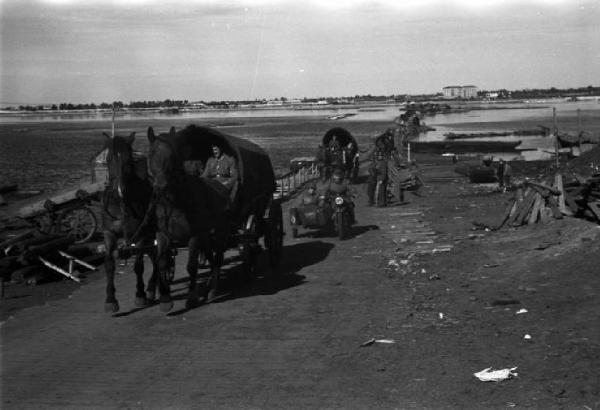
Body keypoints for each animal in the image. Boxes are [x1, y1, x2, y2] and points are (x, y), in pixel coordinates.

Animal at [102, 133, 159, 312]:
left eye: (128, 160)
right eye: (108, 159)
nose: (120, 190)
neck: (122, 203)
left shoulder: (139, 235)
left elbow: (139, 265)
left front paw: (140, 295)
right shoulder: (109, 233)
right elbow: (109, 264)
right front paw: (110, 299)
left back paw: (150, 288)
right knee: (154, 254)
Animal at [146, 126, 232, 312]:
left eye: (173, 155)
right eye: (151, 154)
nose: (161, 187)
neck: (176, 203)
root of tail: (222, 188)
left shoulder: (194, 236)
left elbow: (191, 266)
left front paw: (192, 297)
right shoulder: (163, 235)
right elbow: (161, 263)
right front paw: (165, 300)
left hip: (220, 231)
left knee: (218, 257)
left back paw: (212, 289)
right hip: (206, 234)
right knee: (211, 256)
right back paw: (208, 286)